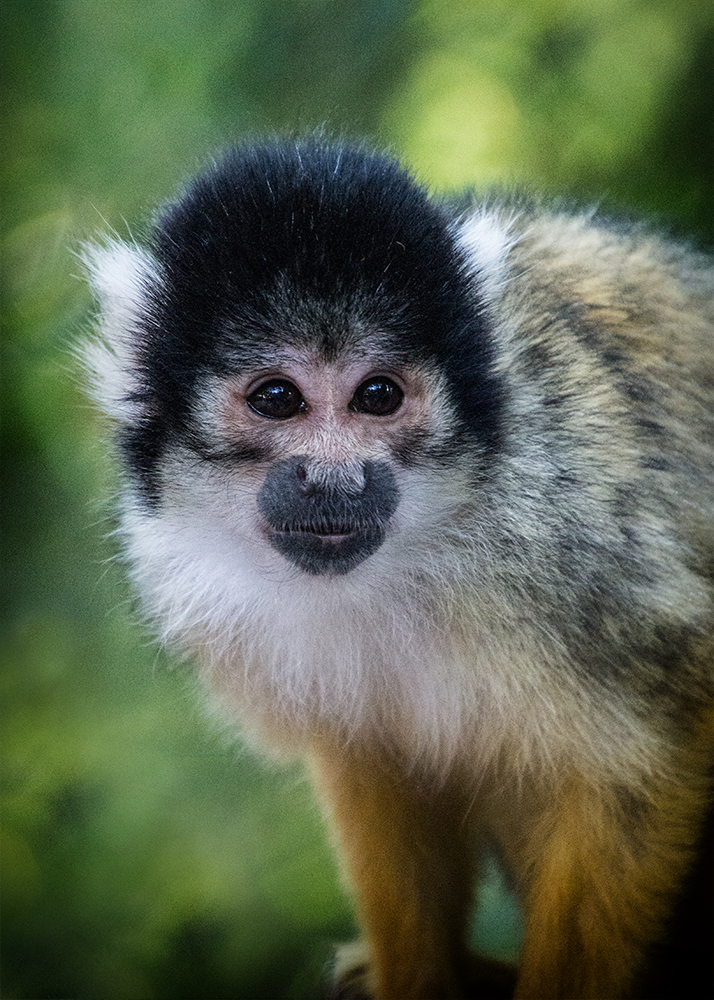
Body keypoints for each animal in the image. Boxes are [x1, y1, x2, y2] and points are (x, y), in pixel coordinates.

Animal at [83, 139, 712, 1000]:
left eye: (377, 395)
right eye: (276, 398)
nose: (334, 480)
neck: (412, 553)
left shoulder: (571, 526)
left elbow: (655, 745)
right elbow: (376, 762)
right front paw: (415, 977)